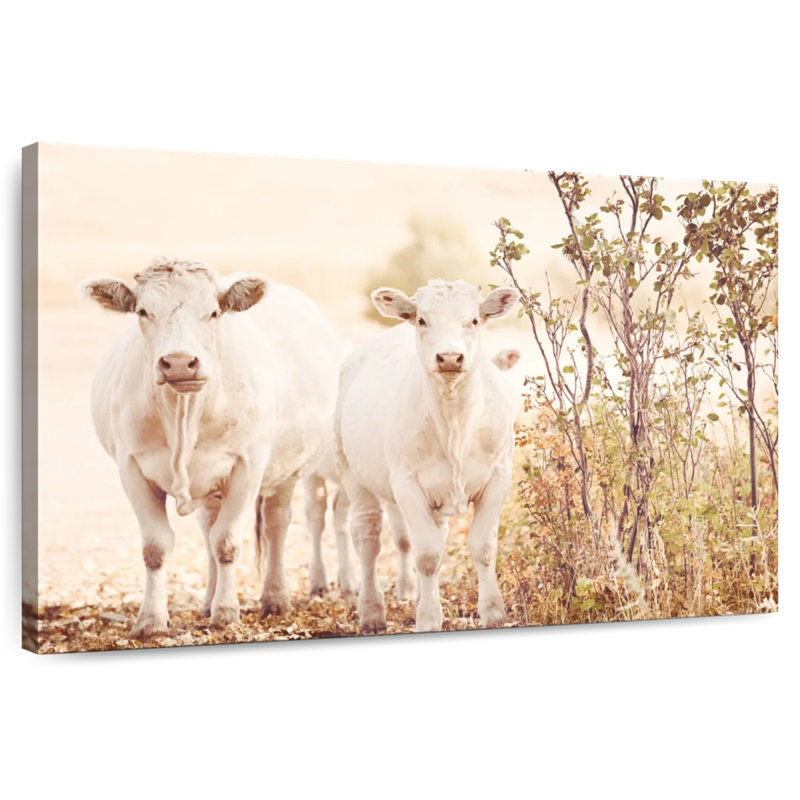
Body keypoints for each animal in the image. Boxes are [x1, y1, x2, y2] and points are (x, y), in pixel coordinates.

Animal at [81, 259, 341, 639]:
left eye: (214, 312)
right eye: (143, 311)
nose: (178, 362)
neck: (185, 412)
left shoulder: (247, 466)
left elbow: (227, 543)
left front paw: (227, 612)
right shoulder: (131, 468)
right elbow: (157, 547)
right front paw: (151, 619)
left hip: (287, 471)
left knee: (276, 524)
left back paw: (275, 598)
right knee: (208, 528)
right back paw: (207, 601)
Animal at [335, 279, 520, 633]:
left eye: (473, 320)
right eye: (422, 320)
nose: (449, 357)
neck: (454, 422)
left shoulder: (498, 476)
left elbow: (483, 546)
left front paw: (493, 612)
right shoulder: (406, 484)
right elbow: (428, 555)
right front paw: (429, 619)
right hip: (352, 473)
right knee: (368, 538)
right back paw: (372, 612)